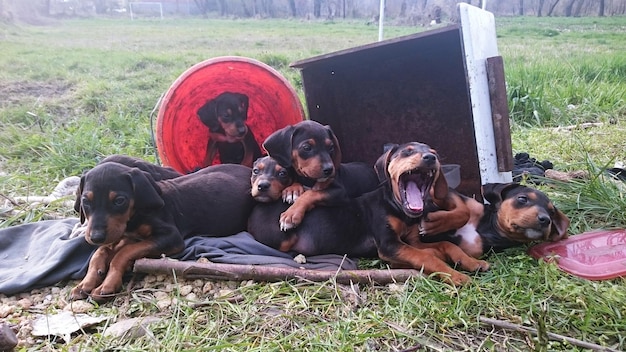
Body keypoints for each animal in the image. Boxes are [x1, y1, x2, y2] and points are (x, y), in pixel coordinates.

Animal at [73, 161, 256, 302]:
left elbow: (122, 253)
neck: (135, 215)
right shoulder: (127, 234)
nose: (96, 237)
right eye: (85, 201)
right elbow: (101, 251)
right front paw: (86, 283)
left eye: (119, 200)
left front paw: (107, 284)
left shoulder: (171, 237)